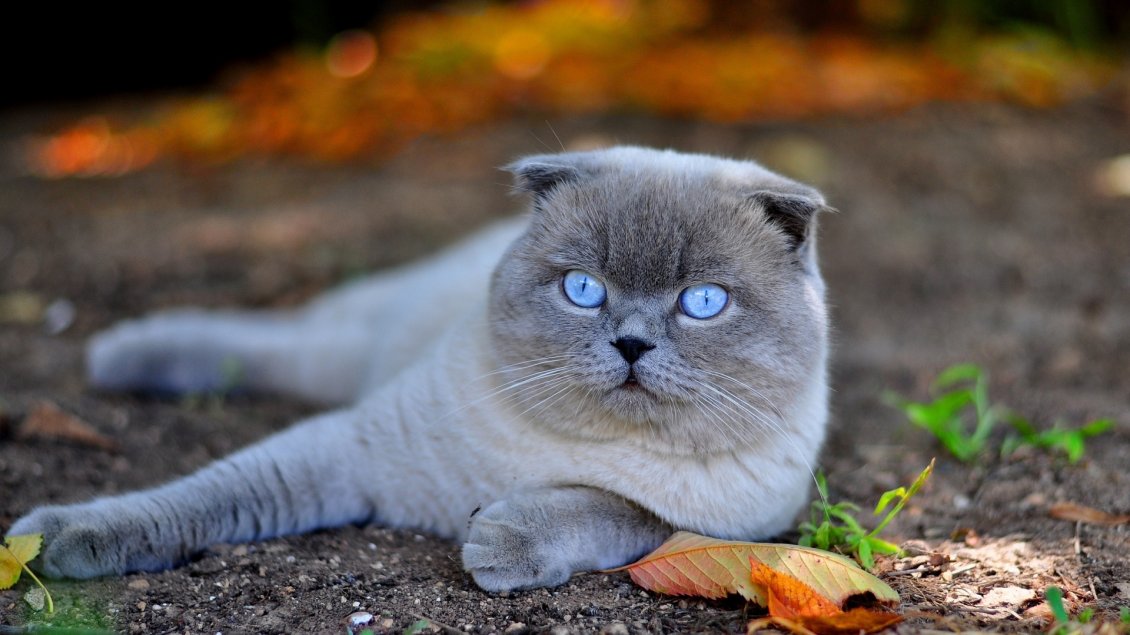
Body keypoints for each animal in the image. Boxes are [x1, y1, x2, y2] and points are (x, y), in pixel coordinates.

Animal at [6, 145, 831, 592]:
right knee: (264, 341)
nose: (631, 344)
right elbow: (194, 498)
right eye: (583, 289)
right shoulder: (350, 448)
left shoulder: (724, 522)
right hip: (340, 354)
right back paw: (119, 354)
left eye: (703, 302)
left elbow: (608, 506)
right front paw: (50, 544)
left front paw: (498, 539)